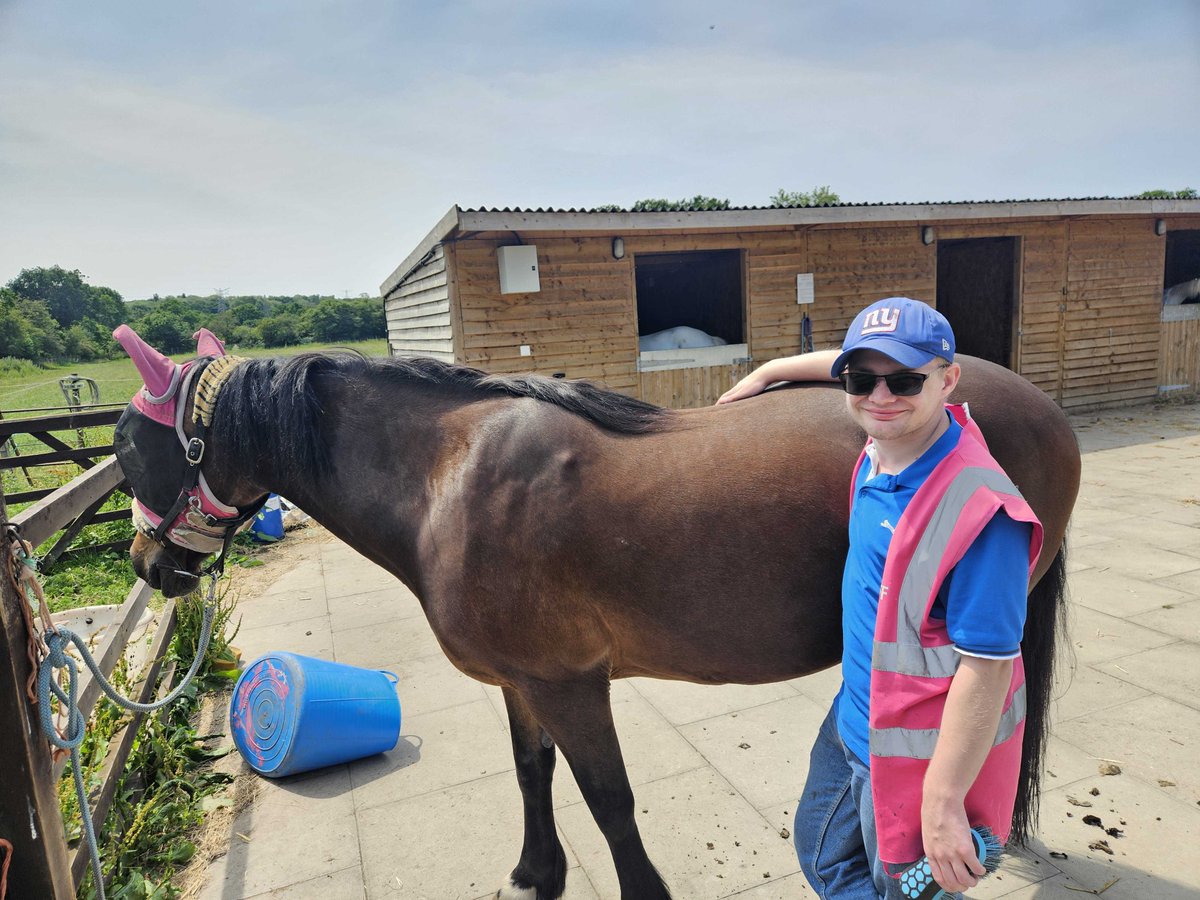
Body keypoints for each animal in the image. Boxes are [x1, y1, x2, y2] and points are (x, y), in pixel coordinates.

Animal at [111, 326, 1080, 900]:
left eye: (127, 447)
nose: (150, 566)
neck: (448, 478)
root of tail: (1047, 409)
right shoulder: (522, 681)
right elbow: (532, 773)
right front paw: (538, 872)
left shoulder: (571, 683)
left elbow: (609, 800)